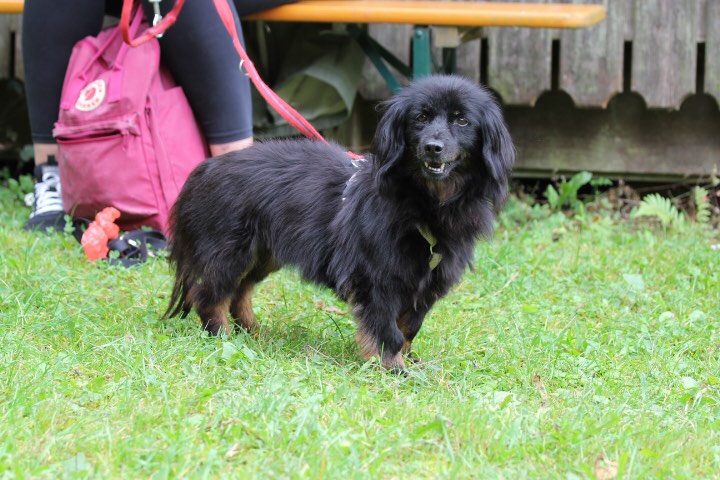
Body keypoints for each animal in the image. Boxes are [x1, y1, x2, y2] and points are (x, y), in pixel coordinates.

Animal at [164, 75, 514, 370]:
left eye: (462, 120)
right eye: (421, 118)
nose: (433, 147)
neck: (425, 203)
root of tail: (203, 170)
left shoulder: (426, 285)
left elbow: (409, 327)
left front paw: (407, 359)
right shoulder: (377, 280)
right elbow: (388, 329)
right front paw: (393, 368)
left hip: (263, 255)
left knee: (240, 292)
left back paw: (252, 332)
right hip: (229, 252)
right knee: (210, 296)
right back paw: (221, 336)